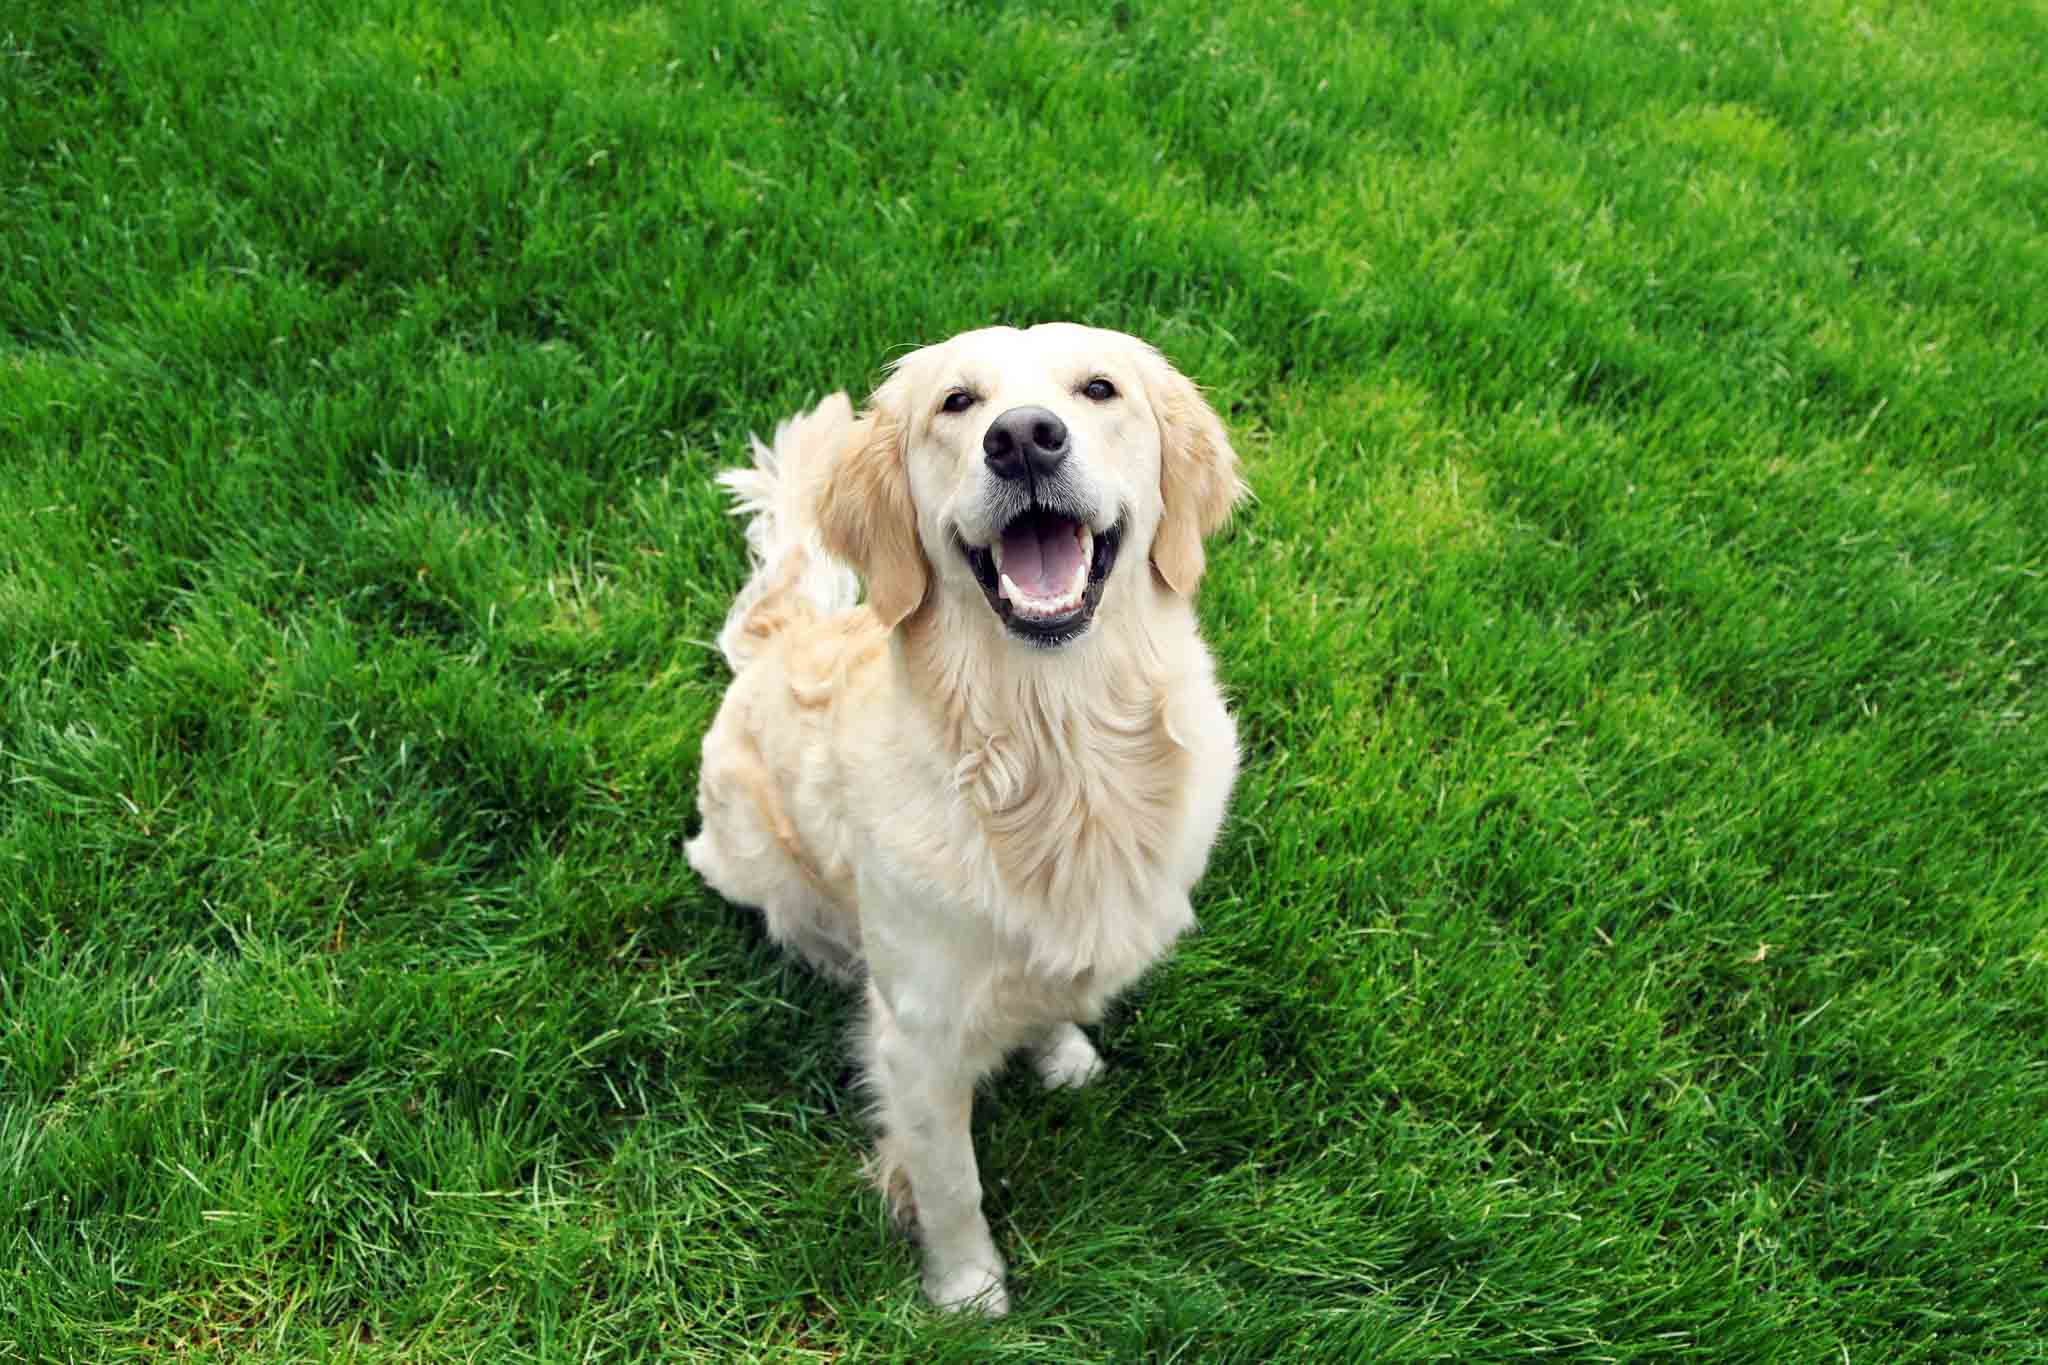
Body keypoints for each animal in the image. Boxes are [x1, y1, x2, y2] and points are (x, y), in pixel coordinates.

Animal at [688, 323, 1236, 1309]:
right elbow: (950, 1180)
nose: (1022, 439)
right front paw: (968, 1291)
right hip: (750, 857)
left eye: (1099, 388)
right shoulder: (919, 1038)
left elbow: (1050, 989)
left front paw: (1062, 1051)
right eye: (957, 402)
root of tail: (780, 638)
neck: (1057, 751)